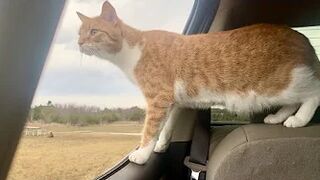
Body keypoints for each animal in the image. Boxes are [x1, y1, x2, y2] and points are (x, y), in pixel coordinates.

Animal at [77, 1, 320, 165]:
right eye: (79, 33)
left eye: (93, 32)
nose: (78, 43)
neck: (131, 50)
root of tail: (301, 37)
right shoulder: (172, 102)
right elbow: (167, 127)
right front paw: (162, 145)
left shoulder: (158, 99)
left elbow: (150, 130)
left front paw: (142, 154)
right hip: (283, 88)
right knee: (293, 102)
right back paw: (278, 118)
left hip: (282, 83)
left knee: (313, 93)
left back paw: (298, 119)